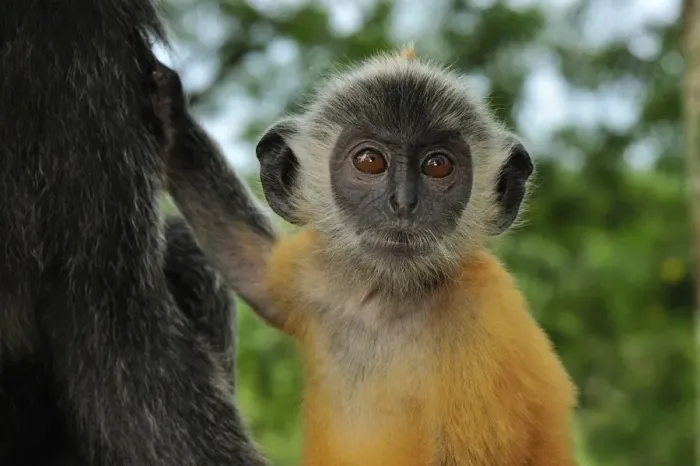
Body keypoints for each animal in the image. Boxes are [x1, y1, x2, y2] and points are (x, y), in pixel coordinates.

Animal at [160, 47, 579, 466]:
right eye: (369, 161)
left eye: (437, 165)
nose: (404, 203)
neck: (390, 303)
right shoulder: (316, 274)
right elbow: (253, 269)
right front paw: (168, 109)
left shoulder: (484, 317)